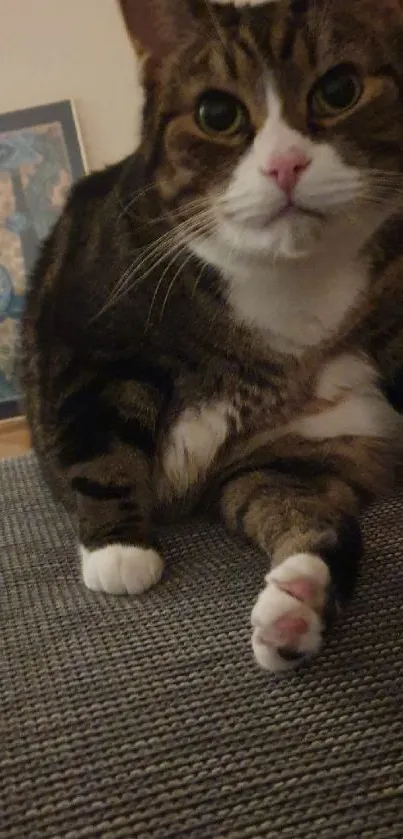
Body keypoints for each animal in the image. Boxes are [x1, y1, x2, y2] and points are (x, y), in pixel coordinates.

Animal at [20, 0, 403, 672]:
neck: (288, 293)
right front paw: (119, 550)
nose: (285, 165)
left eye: (339, 90)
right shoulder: (90, 340)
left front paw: (302, 598)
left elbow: (304, 512)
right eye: (217, 114)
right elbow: (99, 439)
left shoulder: (291, 454)